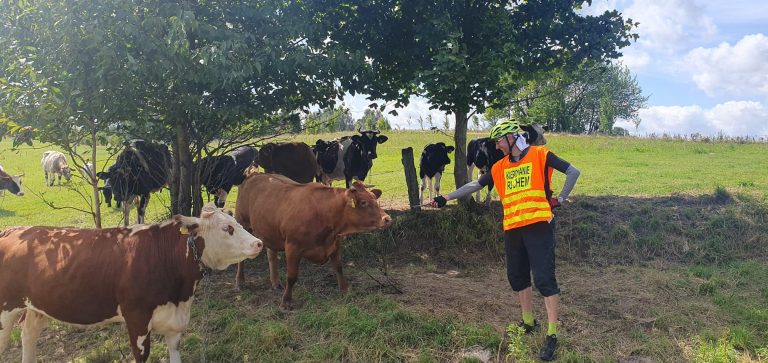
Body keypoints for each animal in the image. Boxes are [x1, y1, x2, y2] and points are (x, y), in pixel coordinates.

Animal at [0, 203, 262, 362]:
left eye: (238, 223)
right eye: (227, 228)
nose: (258, 243)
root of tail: (12, 230)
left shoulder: (175, 322)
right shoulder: (137, 319)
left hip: (37, 306)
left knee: (28, 334)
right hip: (6, 309)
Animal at [232, 173, 390, 310]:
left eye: (374, 199)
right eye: (363, 202)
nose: (387, 218)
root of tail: (254, 175)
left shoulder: (336, 244)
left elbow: (339, 268)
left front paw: (345, 290)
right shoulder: (292, 247)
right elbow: (292, 276)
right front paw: (286, 302)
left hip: (270, 231)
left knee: (271, 255)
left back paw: (275, 282)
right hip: (242, 222)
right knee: (242, 259)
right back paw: (240, 282)